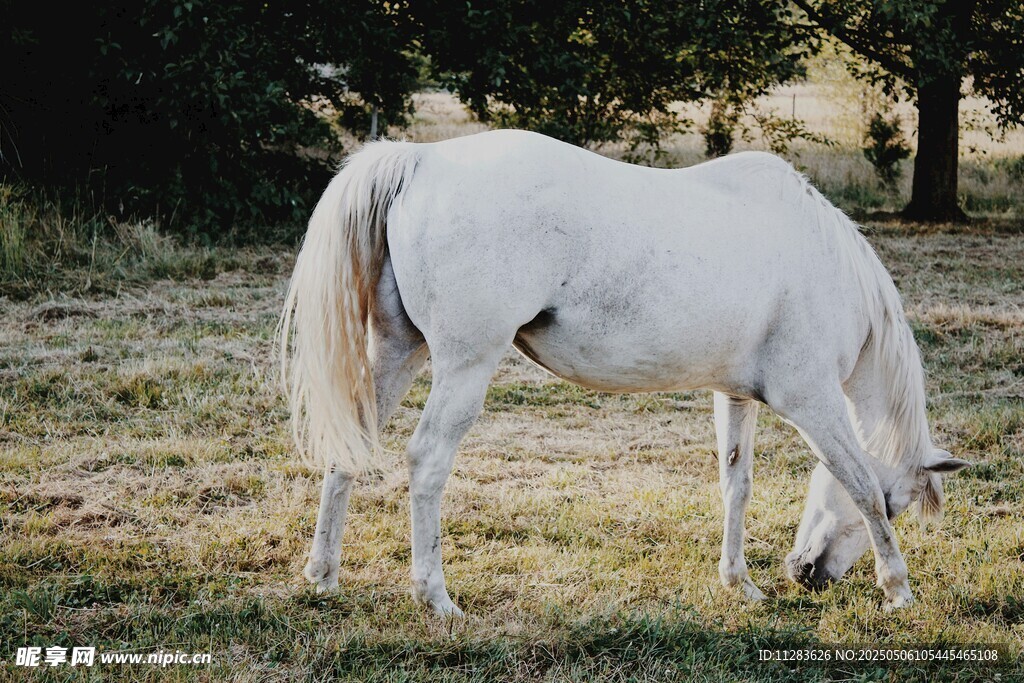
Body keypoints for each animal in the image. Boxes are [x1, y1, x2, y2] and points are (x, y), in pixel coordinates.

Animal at [278, 129, 969, 616]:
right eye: (900, 503)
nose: (807, 575)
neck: (821, 263)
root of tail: (422, 161)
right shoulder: (813, 403)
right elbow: (857, 482)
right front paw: (898, 590)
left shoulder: (734, 396)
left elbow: (736, 486)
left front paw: (739, 585)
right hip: (464, 366)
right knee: (426, 462)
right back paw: (435, 596)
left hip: (399, 351)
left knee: (351, 447)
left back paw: (323, 576)